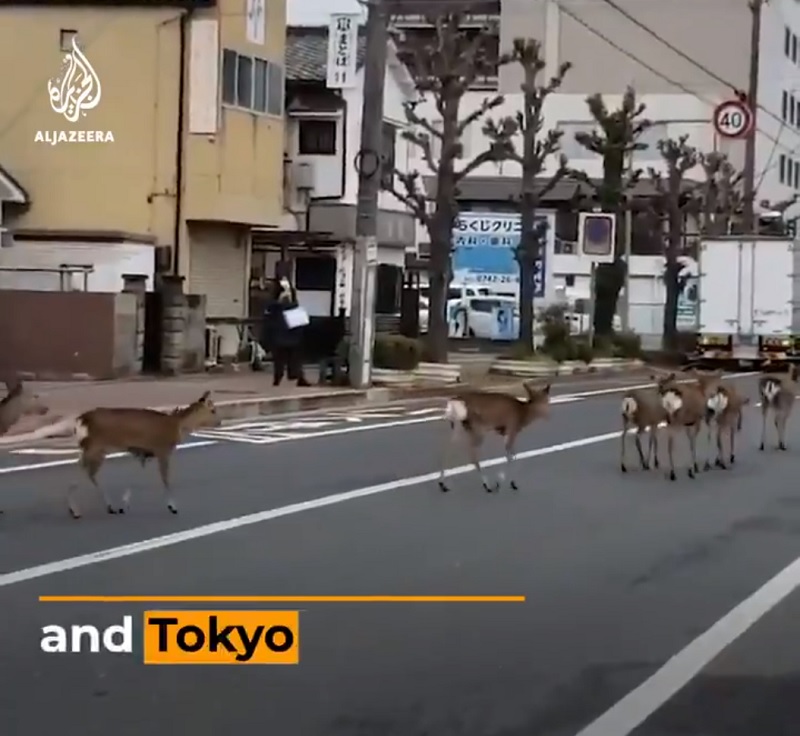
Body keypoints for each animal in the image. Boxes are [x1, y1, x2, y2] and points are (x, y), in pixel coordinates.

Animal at [66, 392, 220, 516]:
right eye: (212, 410)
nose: (219, 422)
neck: (176, 425)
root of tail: (80, 421)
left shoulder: (144, 453)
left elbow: (135, 477)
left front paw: (124, 504)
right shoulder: (163, 450)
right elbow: (166, 479)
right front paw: (172, 507)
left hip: (93, 449)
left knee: (87, 472)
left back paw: (107, 507)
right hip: (95, 447)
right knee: (85, 471)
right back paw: (77, 510)